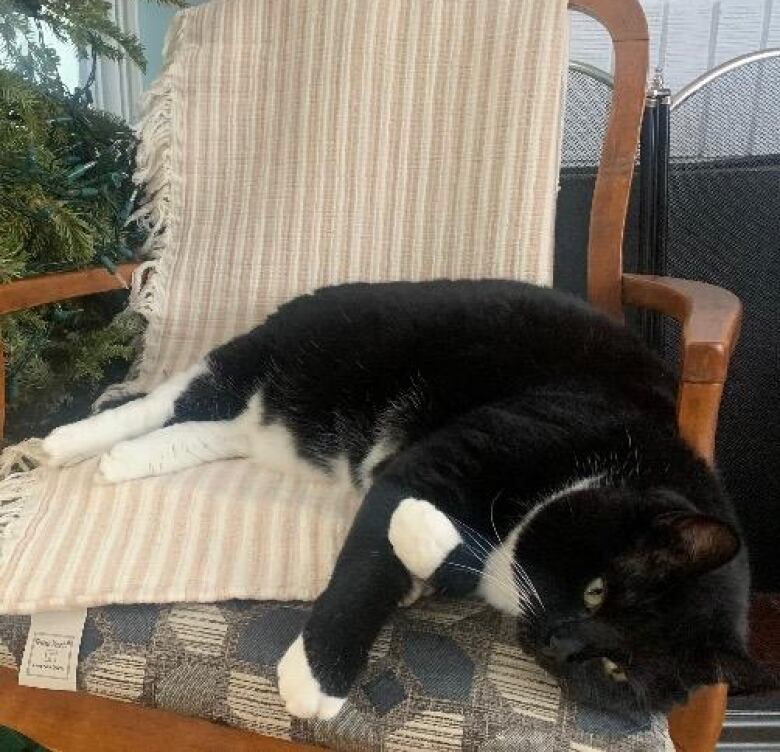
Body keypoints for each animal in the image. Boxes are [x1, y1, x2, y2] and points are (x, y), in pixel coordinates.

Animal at [41, 280, 760, 716]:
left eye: (618, 670)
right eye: (598, 590)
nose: (560, 644)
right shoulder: (449, 458)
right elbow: (375, 557)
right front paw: (319, 675)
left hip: (273, 419)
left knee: (216, 430)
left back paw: (128, 460)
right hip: (287, 356)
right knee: (179, 396)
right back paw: (69, 442)